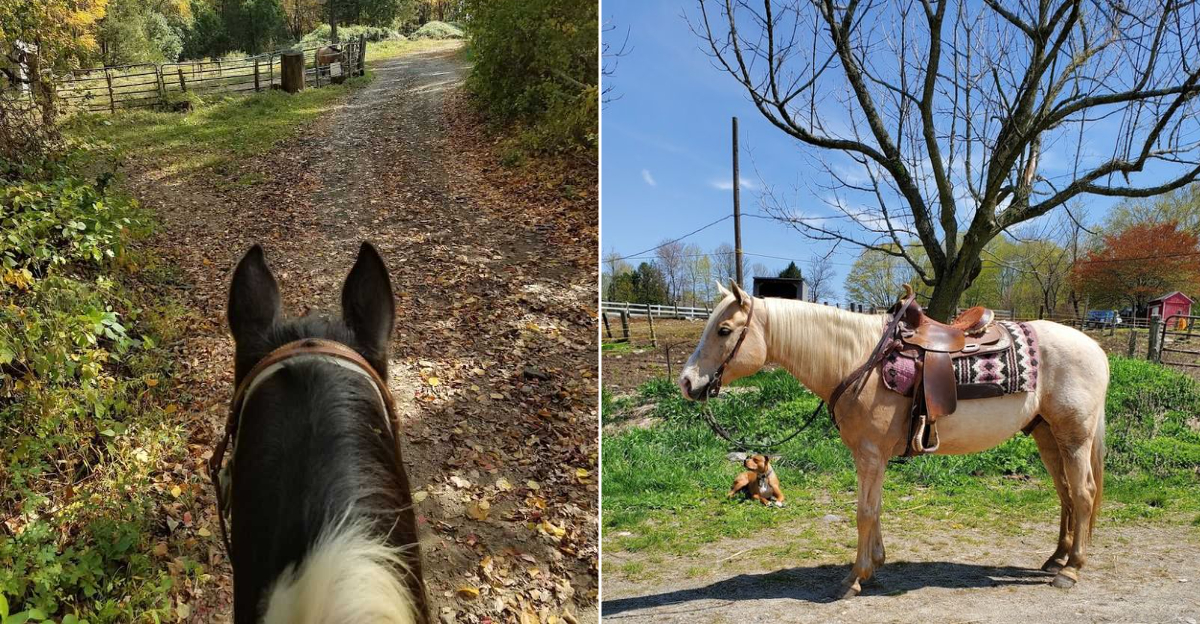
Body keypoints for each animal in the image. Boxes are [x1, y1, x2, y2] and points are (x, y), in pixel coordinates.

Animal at [678, 281, 1107, 599]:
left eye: (724, 330)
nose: (686, 382)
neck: (856, 361)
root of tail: (1096, 350)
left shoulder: (870, 454)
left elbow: (864, 512)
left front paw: (854, 578)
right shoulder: (872, 456)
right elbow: (876, 508)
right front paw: (875, 566)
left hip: (1074, 436)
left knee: (1083, 493)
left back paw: (1071, 570)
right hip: (1047, 436)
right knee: (1066, 494)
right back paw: (1056, 558)